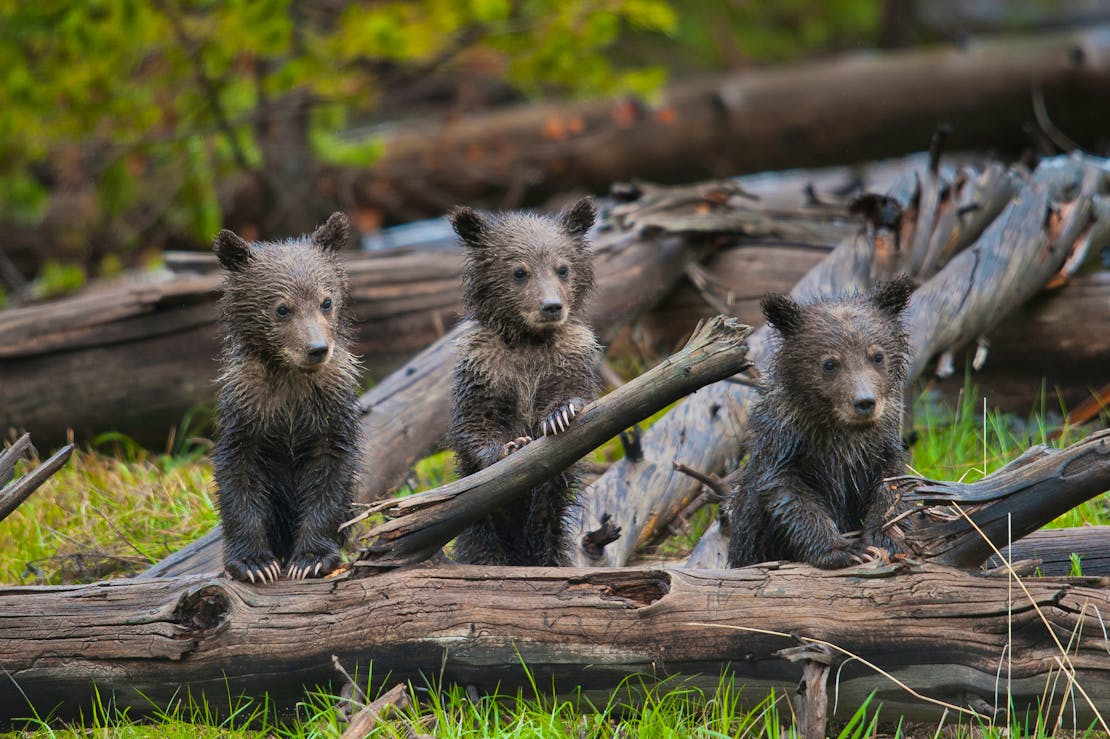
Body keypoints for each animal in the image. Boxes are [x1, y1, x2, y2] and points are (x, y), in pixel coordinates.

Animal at [211, 212, 361, 583]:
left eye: (326, 301)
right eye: (282, 308)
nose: (317, 348)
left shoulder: (331, 410)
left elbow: (331, 476)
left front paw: (311, 558)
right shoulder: (247, 410)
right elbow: (238, 476)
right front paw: (254, 563)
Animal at [446, 197, 603, 566]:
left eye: (562, 268)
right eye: (520, 272)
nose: (551, 306)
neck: (530, 341)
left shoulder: (570, 355)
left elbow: (573, 392)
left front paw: (559, 415)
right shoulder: (484, 366)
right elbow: (475, 422)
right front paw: (509, 446)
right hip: (484, 531)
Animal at [726, 275, 915, 570]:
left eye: (877, 356)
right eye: (830, 363)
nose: (865, 402)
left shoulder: (879, 447)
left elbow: (891, 486)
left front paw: (887, 538)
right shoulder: (786, 448)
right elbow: (790, 498)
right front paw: (844, 550)